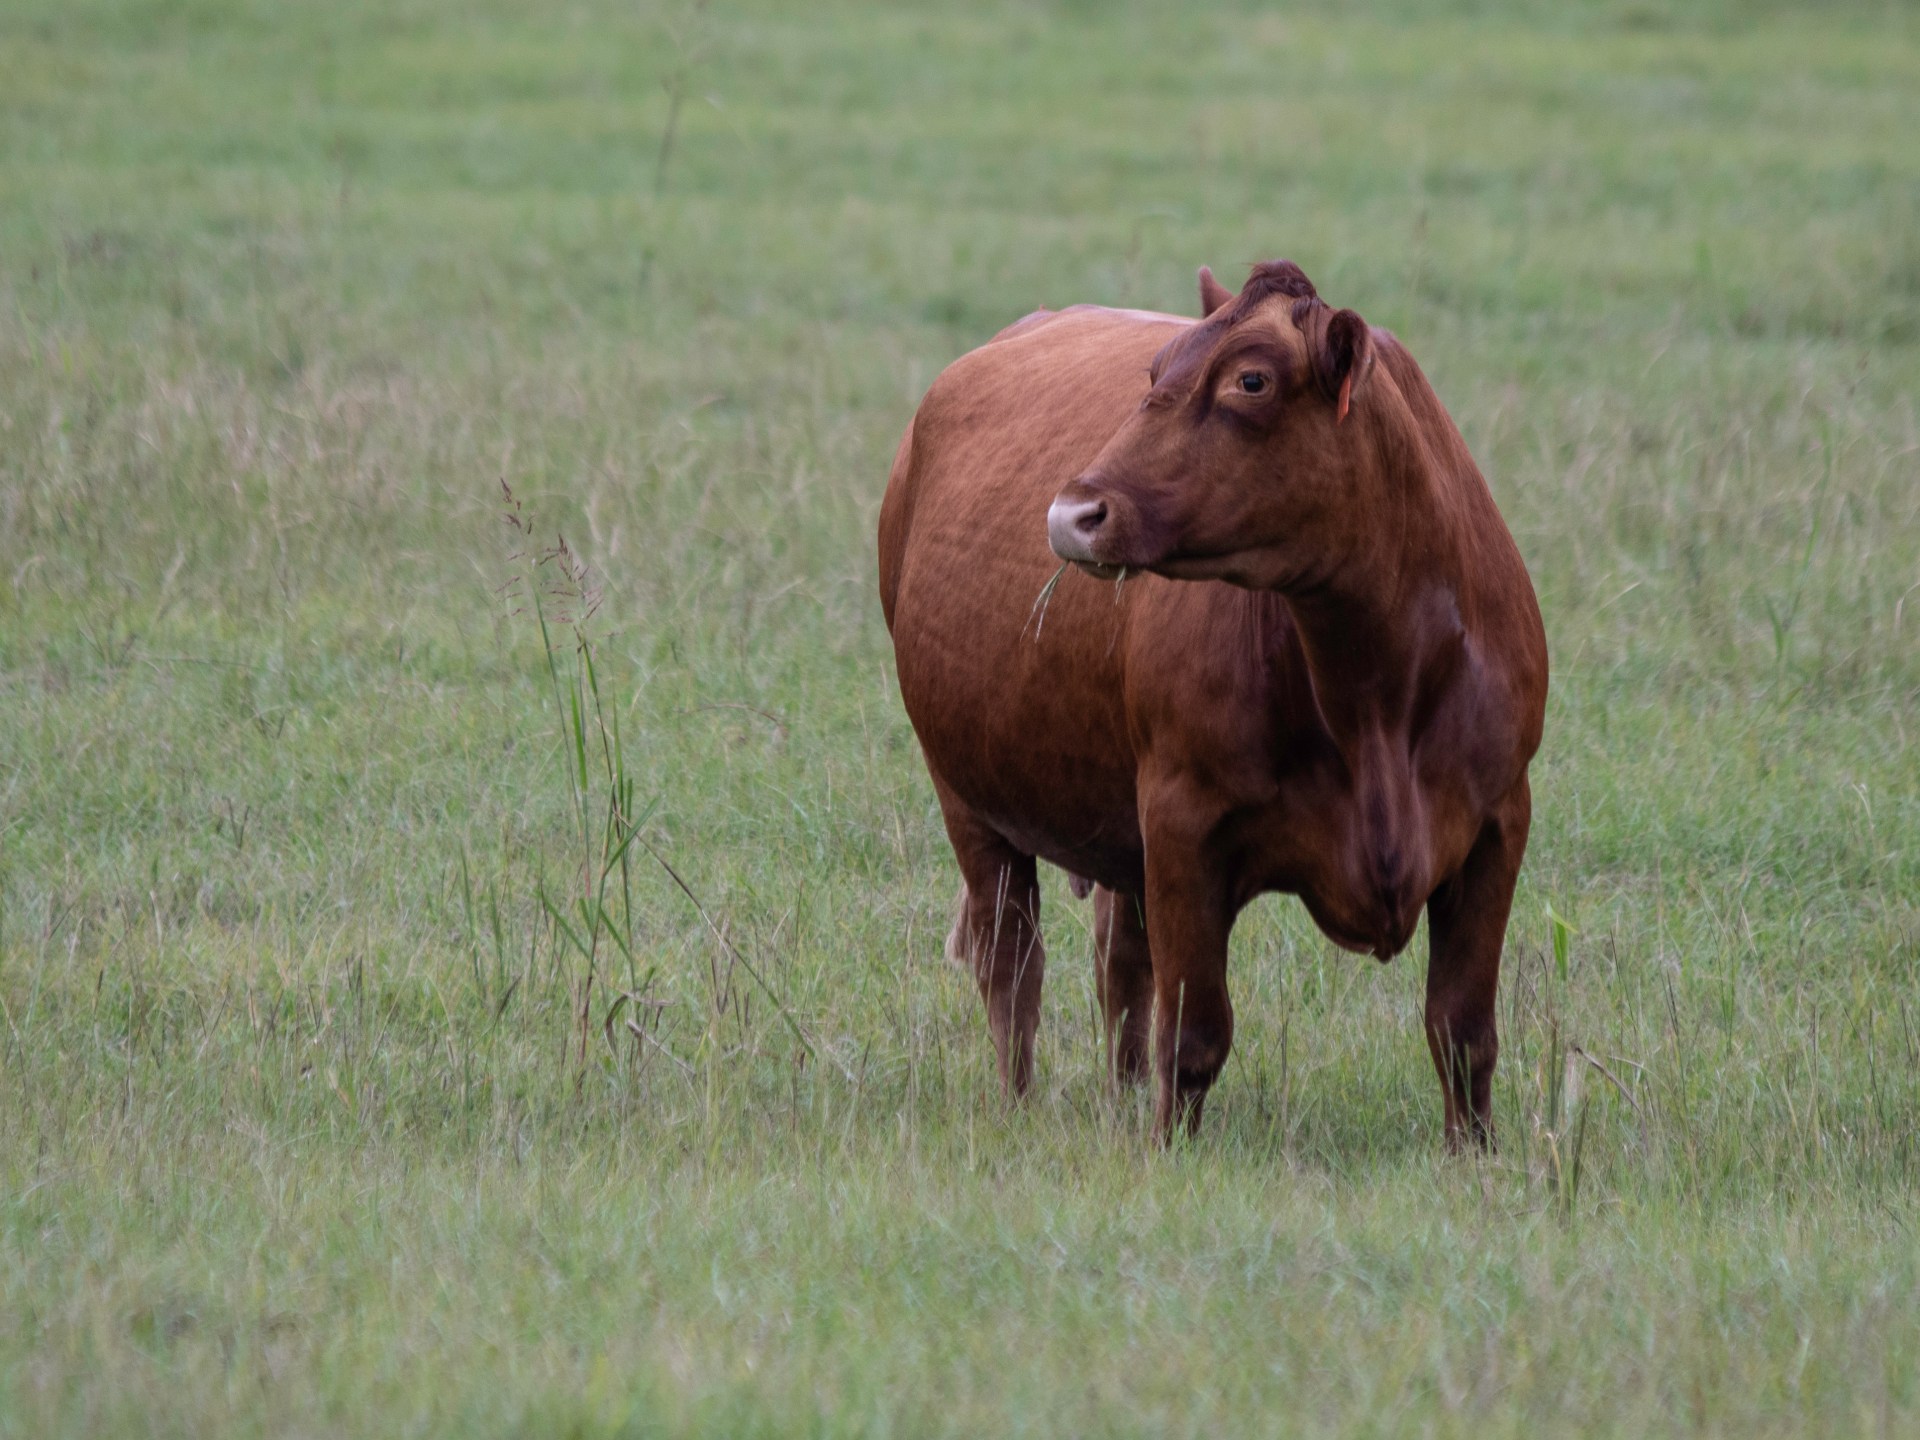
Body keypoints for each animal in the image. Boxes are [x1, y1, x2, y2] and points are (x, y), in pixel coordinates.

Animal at [879, 259, 1551, 1152]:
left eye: (1251, 381)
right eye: (1156, 370)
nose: (1072, 515)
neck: (1377, 694)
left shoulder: (1498, 823)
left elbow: (1463, 1030)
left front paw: (1474, 1158)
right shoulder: (1182, 821)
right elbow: (1194, 1031)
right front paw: (1171, 1153)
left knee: (1120, 963)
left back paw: (1122, 1095)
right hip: (967, 792)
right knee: (1012, 963)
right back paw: (1021, 1107)